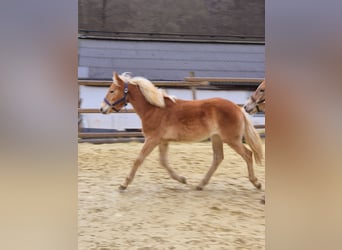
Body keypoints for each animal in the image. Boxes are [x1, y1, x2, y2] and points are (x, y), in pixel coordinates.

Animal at [100, 72, 264, 191]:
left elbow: (138, 160)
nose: (102, 108)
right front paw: (182, 179)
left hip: (232, 139)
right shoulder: (162, 141)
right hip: (217, 138)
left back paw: (256, 183)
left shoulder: (152, 139)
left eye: (112, 90)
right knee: (218, 158)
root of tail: (238, 108)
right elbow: (163, 162)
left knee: (248, 154)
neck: (154, 109)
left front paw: (124, 184)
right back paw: (200, 184)